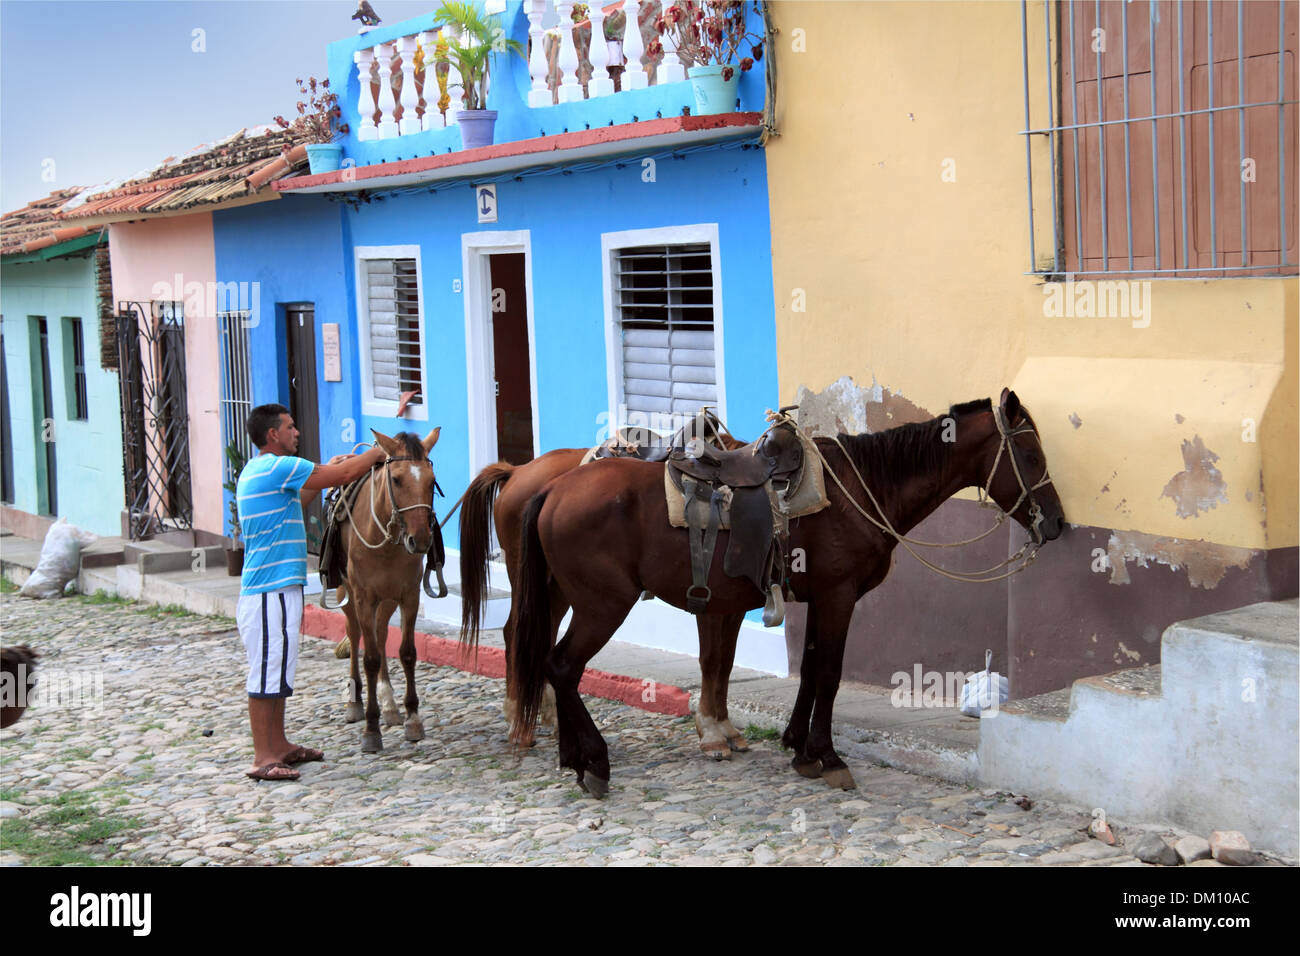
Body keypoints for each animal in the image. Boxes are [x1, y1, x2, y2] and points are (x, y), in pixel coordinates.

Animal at [338, 429, 444, 749]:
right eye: (396, 479)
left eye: (432, 480)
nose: (420, 540)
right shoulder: (363, 598)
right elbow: (370, 658)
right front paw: (371, 730)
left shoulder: (409, 595)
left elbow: (407, 652)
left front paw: (413, 719)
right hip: (349, 597)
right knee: (356, 634)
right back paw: (356, 703)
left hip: (386, 600)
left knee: (381, 631)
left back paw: (389, 705)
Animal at [460, 431, 754, 754]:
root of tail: (517, 472)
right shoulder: (709, 602)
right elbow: (711, 661)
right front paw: (712, 733)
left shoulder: (733, 607)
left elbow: (726, 661)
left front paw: (725, 728)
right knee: (516, 634)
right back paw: (519, 720)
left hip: (555, 589)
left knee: (542, 637)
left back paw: (547, 716)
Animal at [506, 392, 1066, 796]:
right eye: (1030, 452)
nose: (1058, 523)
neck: (854, 492)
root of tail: (551, 488)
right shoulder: (839, 595)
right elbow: (829, 674)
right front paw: (829, 755)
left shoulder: (822, 597)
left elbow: (812, 669)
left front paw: (800, 748)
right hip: (602, 604)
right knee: (562, 665)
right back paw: (593, 761)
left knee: (549, 661)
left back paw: (570, 756)